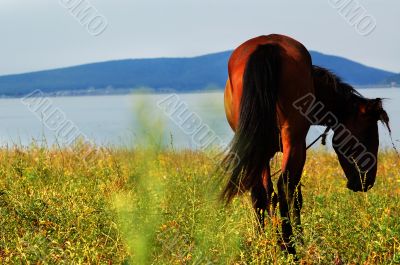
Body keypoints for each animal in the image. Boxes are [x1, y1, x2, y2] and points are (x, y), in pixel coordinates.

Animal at [220, 33, 390, 254]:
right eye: (369, 134)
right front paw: (297, 239)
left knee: (261, 192)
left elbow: (268, 195)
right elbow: (295, 197)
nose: (367, 182)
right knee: (285, 188)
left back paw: (267, 243)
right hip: (295, 143)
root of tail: (267, 45)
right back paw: (289, 248)